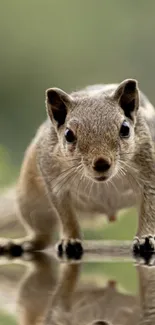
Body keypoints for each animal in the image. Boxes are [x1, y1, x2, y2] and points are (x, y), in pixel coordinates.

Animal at [1, 77, 155, 256]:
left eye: (125, 129)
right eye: (68, 135)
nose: (101, 163)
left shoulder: (148, 174)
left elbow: (148, 209)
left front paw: (145, 238)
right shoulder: (55, 184)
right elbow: (66, 216)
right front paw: (70, 240)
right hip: (31, 202)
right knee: (42, 237)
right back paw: (20, 243)